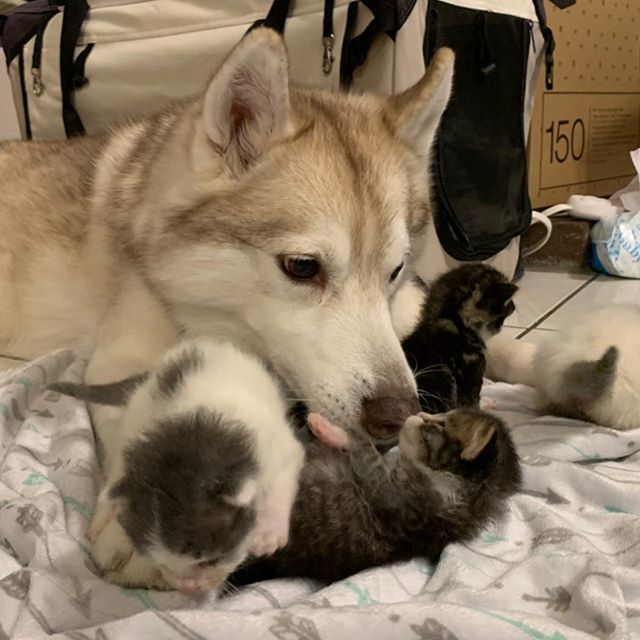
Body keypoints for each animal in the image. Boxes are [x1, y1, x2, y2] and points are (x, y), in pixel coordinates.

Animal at [232, 404, 524, 584]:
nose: (418, 411)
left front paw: (331, 429)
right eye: (437, 415)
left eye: (440, 424)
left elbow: (364, 447)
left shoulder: (393, 495)